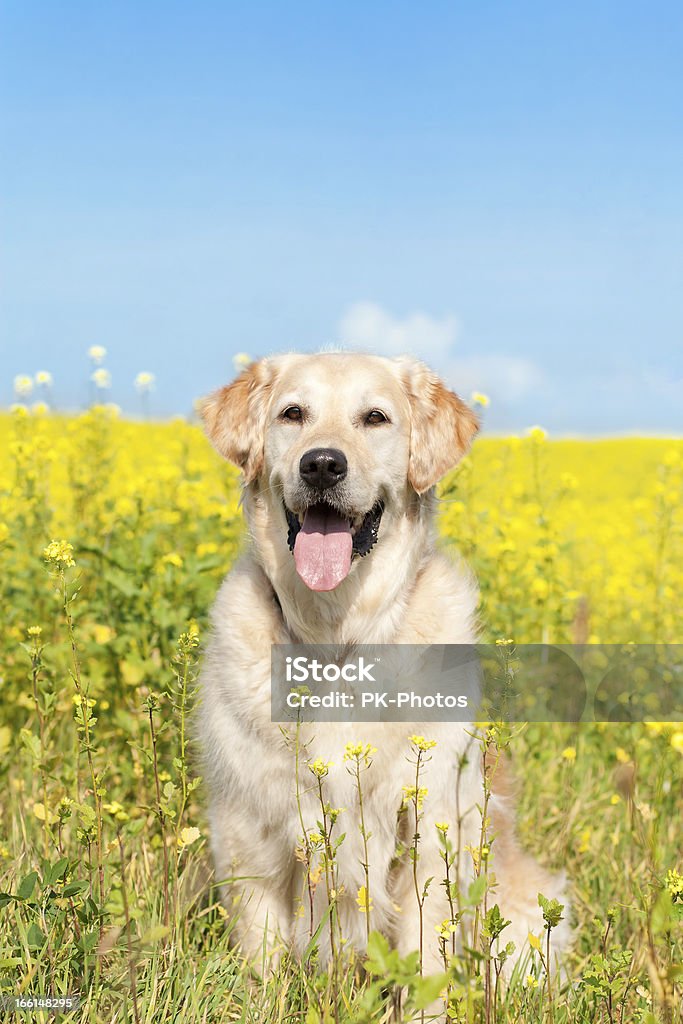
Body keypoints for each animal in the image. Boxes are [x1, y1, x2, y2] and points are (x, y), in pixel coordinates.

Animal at [197, 350, 573, 991]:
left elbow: (426, 959)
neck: (339, 639)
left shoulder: (430, 827)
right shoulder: (249, 825)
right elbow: (262, 955)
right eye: (292, 413)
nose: (322, 464)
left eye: (375, 417)